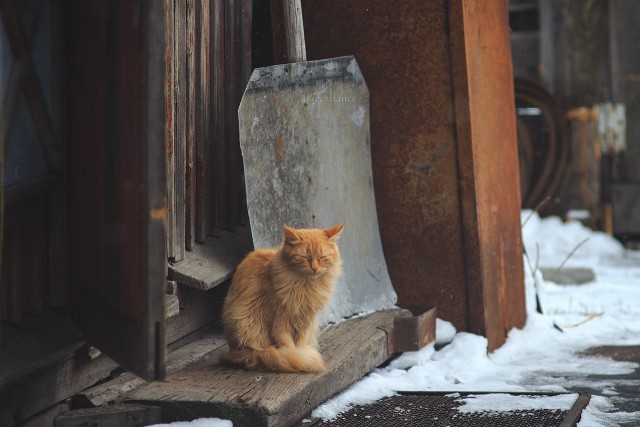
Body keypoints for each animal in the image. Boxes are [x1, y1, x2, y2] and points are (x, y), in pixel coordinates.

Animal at [220, 226, 342, 372]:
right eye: (305, 257)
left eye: (322, 257)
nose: (314, 268)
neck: (305, 286)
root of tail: (233, 352)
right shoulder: (281, 321)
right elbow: (289, 346)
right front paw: (298, 356)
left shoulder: (306, 319)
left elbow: (300, 343)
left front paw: (301, 353)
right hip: (245, 324)